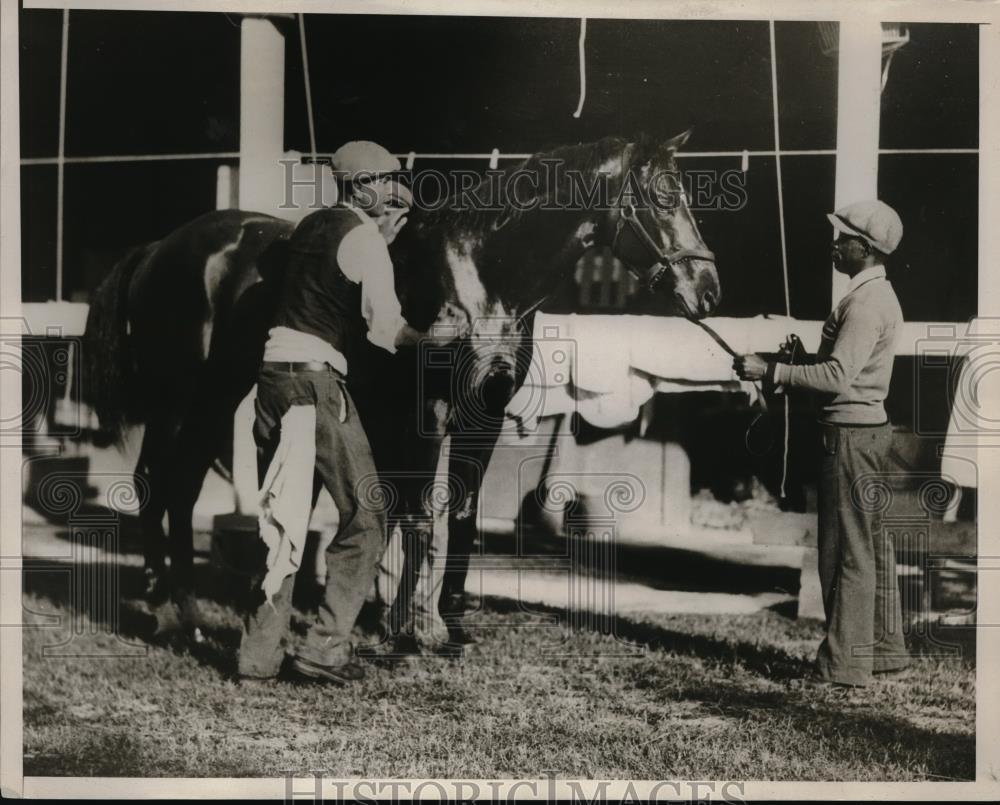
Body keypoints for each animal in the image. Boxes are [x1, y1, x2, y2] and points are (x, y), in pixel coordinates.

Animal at [78, 130, 720, 636]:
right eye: (664, 197)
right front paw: (411, 626)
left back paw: (175, 604)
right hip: (183, 398)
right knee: (165, 486)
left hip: (213, 395)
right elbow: (420, 509)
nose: (708, 291)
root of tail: (161, 247)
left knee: (174, 486)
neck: (481, 273)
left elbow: (460, 511)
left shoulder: (485, 412)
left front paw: (448, 619)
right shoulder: (428, 412)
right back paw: (172, 610)